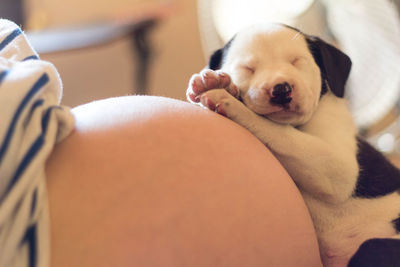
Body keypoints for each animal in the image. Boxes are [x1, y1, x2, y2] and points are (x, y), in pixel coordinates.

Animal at [185, 24, 400, 266]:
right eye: (248, 68)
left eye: (297, 61)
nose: (280, 89)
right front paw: (211, 82)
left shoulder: (338, 170)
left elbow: (279, 132)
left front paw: (228, 98)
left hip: (375, 245)